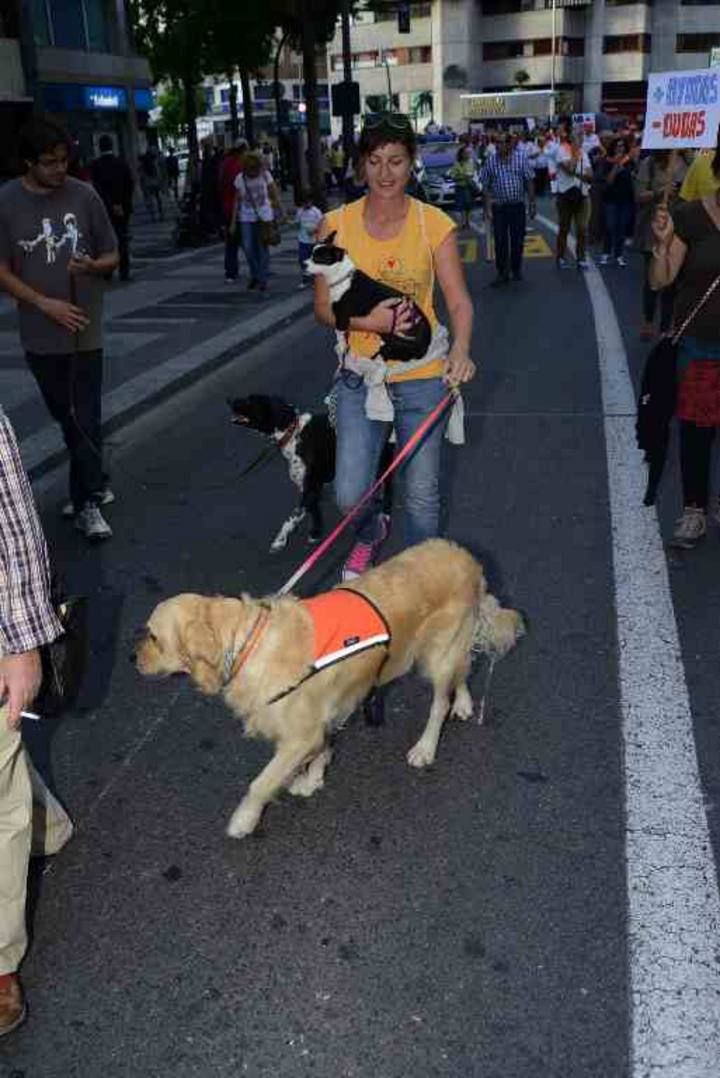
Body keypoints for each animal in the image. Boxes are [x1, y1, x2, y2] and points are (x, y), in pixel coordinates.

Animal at [230, 392, 394, 551]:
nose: (228, 400)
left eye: (250, 400)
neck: (292, 432)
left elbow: (291, 518)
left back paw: (385, 512)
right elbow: (314, 511)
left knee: (388, 486)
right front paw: (316, 533)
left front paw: (280, 540)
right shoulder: (310, 487)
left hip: (382, 461)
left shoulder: (310, 487)